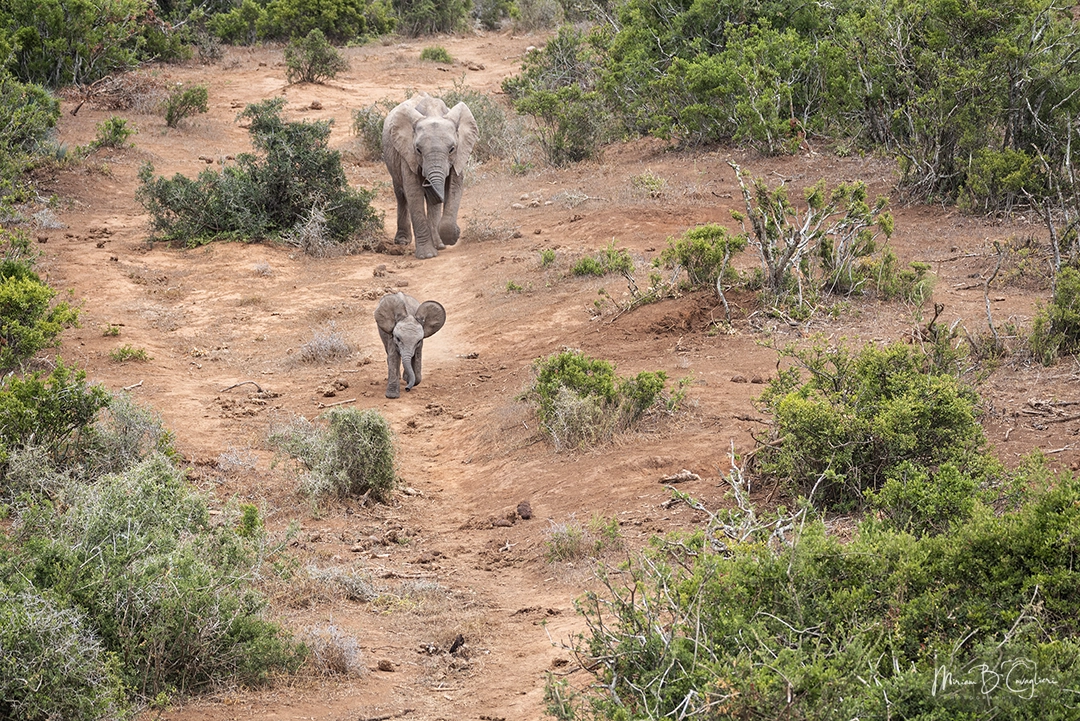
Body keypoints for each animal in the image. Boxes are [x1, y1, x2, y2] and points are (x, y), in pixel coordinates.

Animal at [382, 93, 478, 259]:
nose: (427, 183)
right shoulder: (407, 154)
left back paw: (439, 245)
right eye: (418, 150)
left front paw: (452, 236)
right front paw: (427, 255)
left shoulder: (460, 153)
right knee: (401, 194)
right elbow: (413, 192)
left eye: (452, 149)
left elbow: (455, 186)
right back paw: (402, 242)